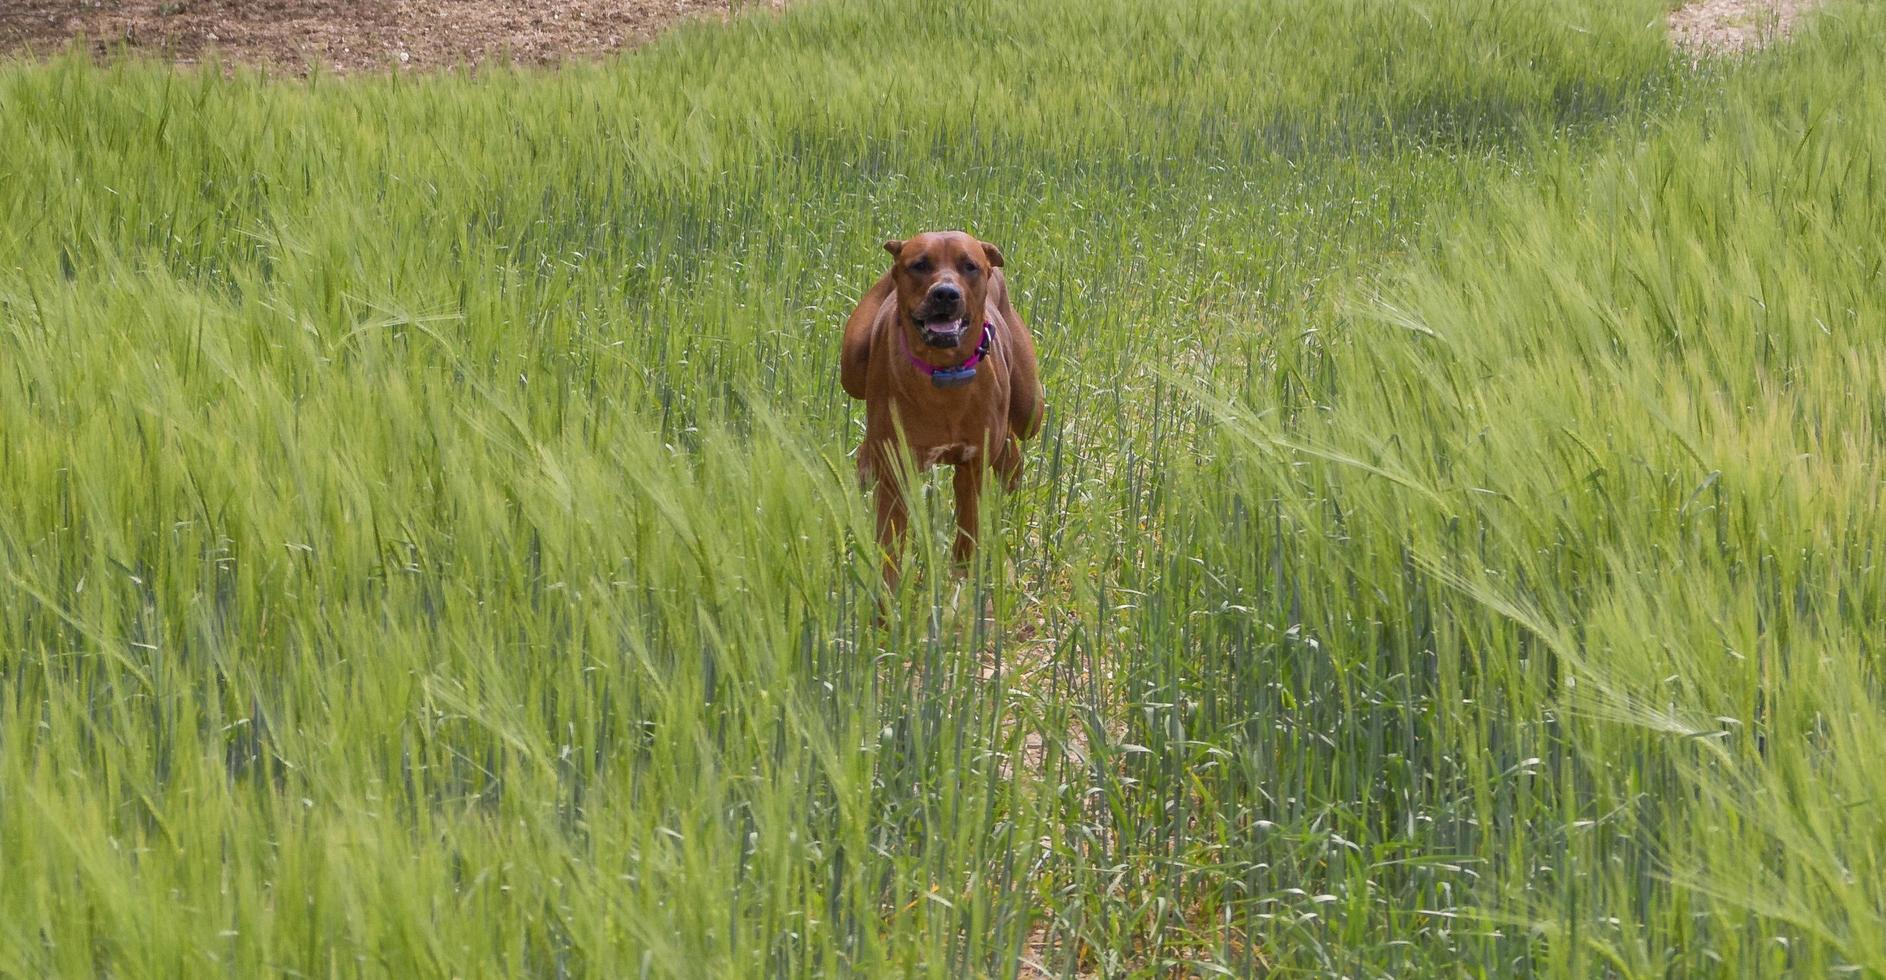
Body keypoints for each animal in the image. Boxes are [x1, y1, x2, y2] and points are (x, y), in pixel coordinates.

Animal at [844, 229, 1048, 580]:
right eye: (920, 265)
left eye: (969, 266)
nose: (945, 294)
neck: (944, 373)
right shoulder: (896, 471)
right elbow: (890, 547)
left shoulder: (972, 467)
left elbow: (968, 535)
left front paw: (962, 584)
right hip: (852, 370)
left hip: (1029, 409)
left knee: (1014, 439)